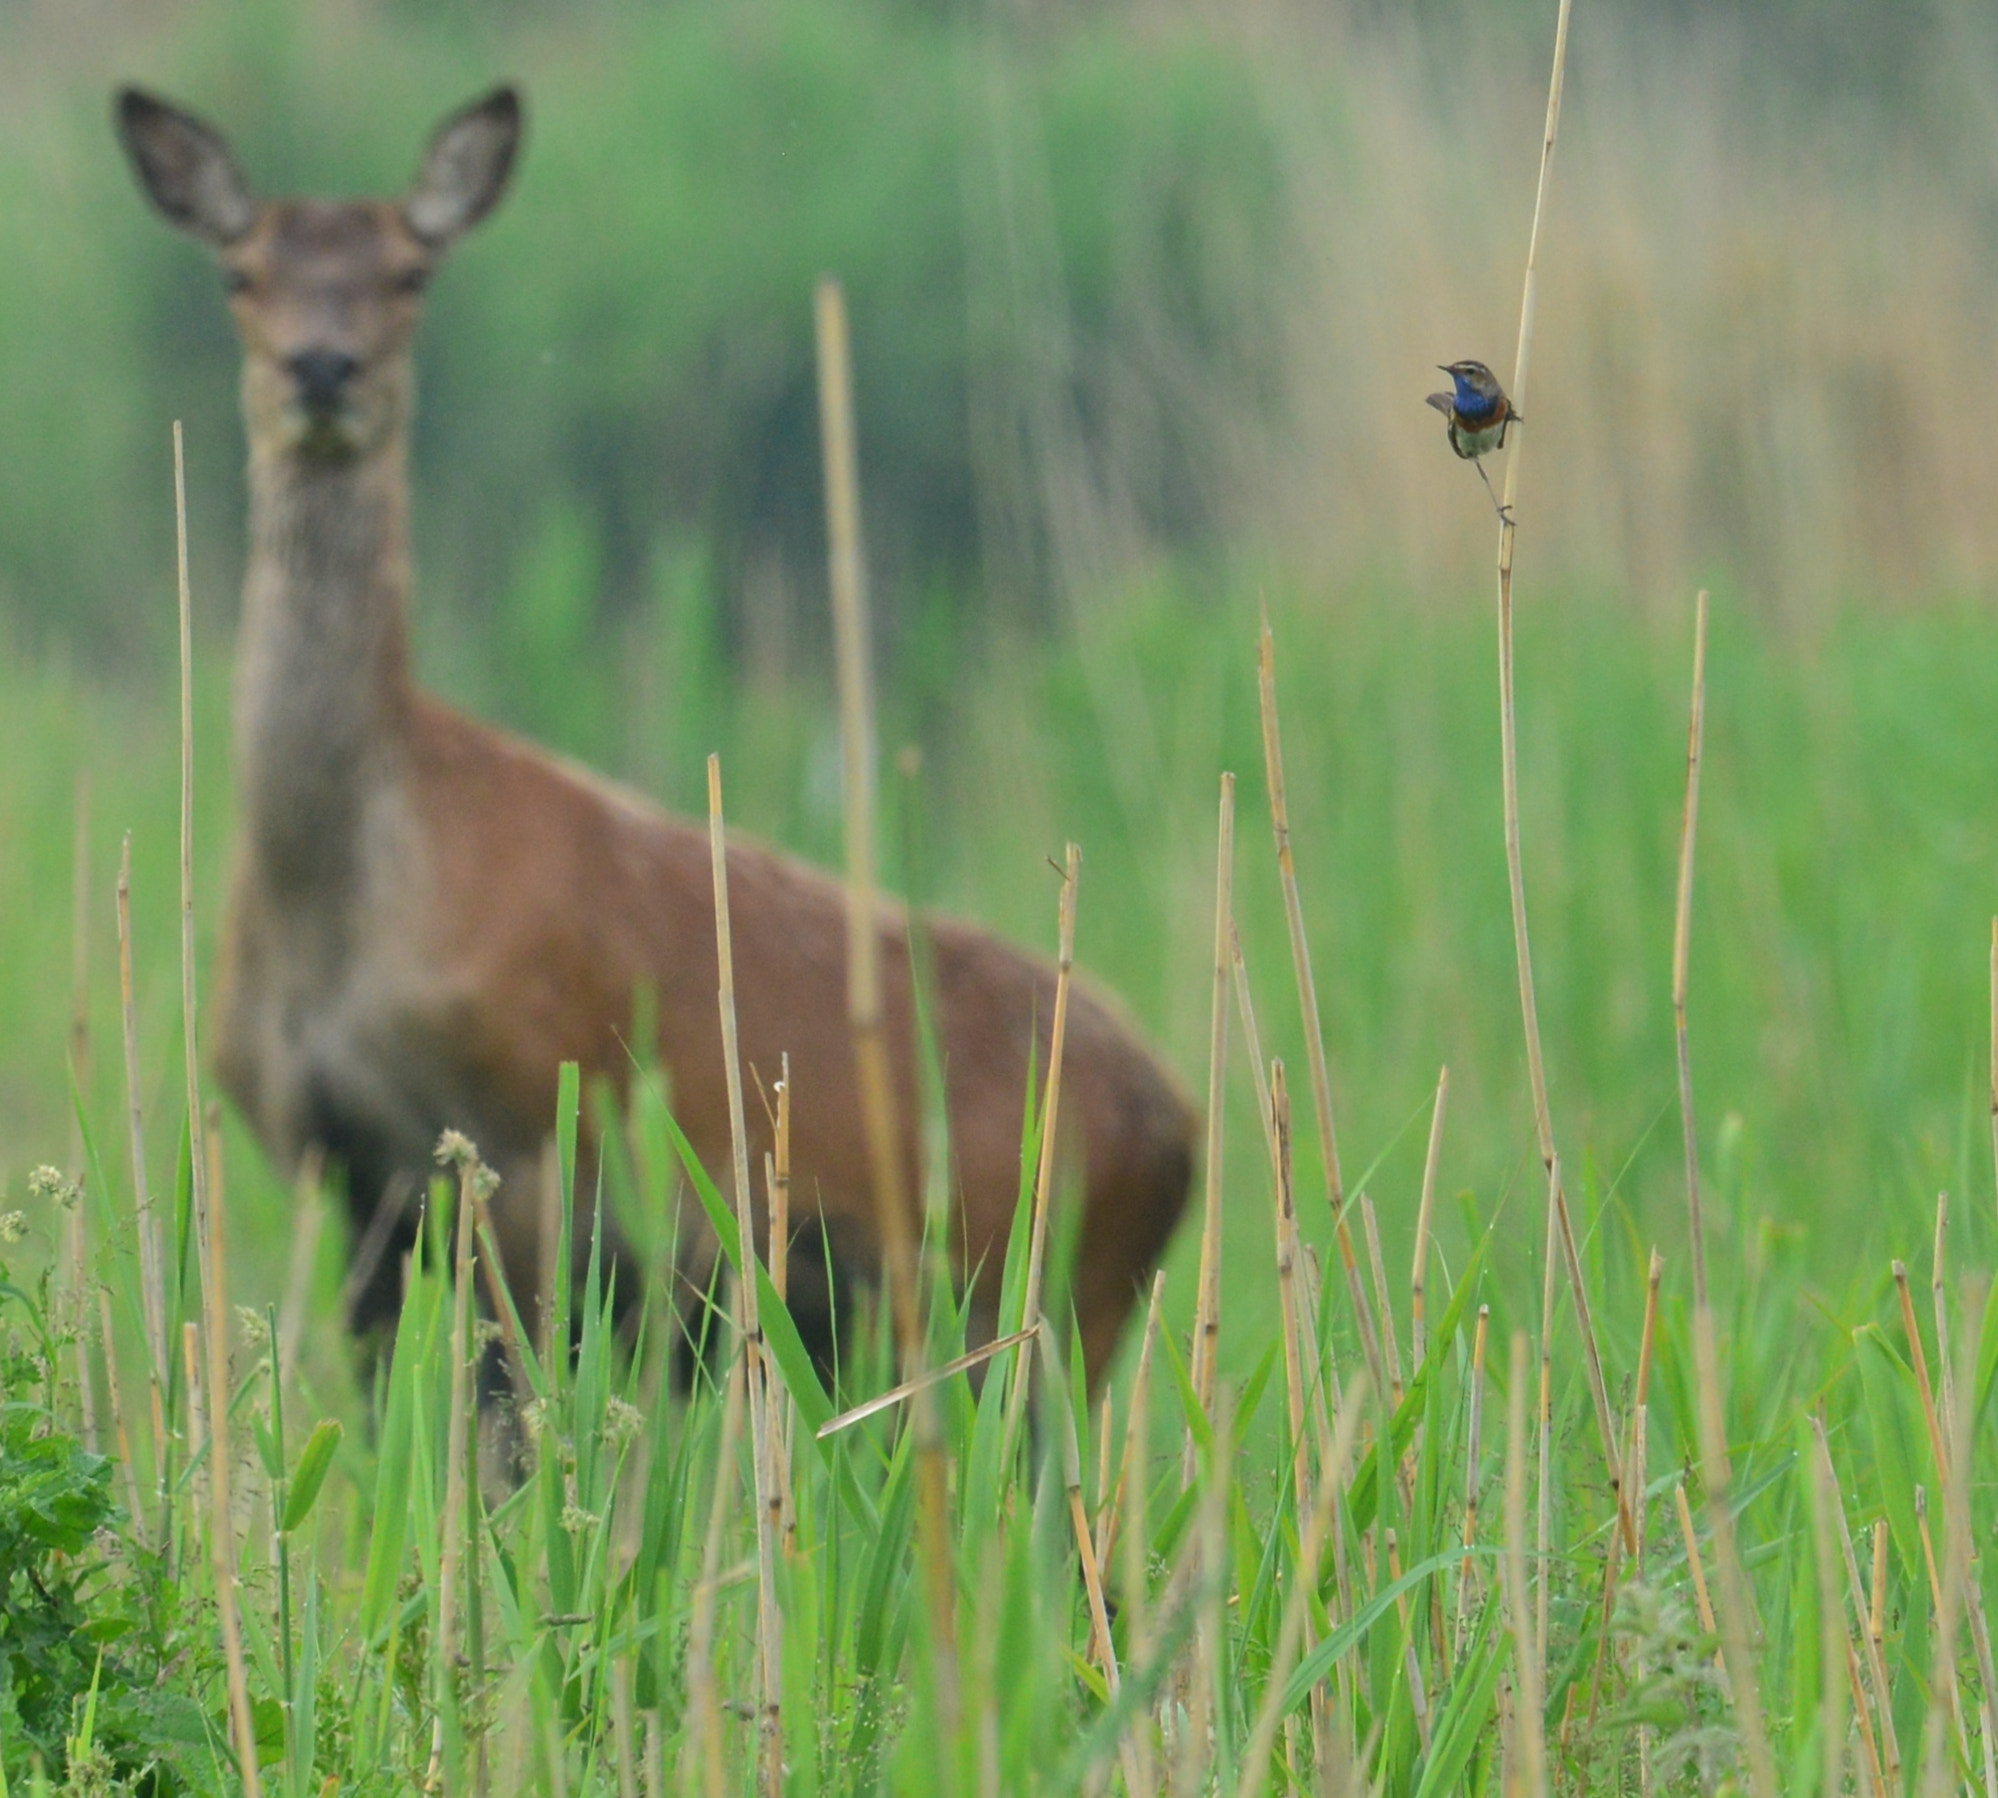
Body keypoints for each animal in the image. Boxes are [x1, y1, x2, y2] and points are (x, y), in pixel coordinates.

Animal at [113, 80, 1198, 1374]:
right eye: (240, 271)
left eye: (409, 272)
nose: (322, 368)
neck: (344, 905)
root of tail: (1187, 1133)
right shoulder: (338, 1169)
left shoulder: (532, 1131)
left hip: (1050, 1298)